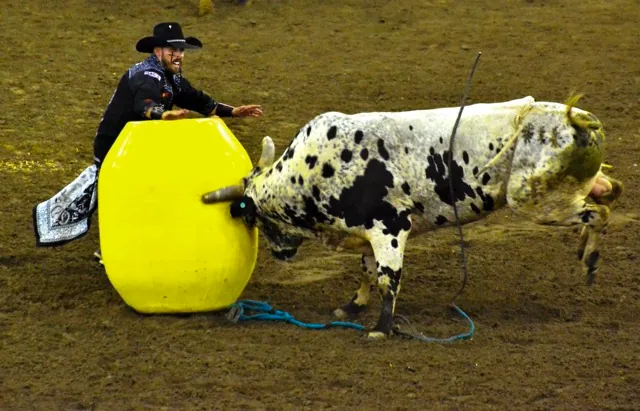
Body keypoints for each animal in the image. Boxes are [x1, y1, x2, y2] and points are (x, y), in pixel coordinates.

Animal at [201, 95, 623, 339]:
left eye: (254, 219)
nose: (279, 253)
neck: (314, 169)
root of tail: (577, 118)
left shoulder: (389, 227)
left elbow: (388, 278)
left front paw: (381, 329)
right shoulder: (366, 233)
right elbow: (366, 270)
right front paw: (353, 306)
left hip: (533, 201)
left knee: (597, 212)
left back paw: (590, 260)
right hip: (565, 188)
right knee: (609, 191)